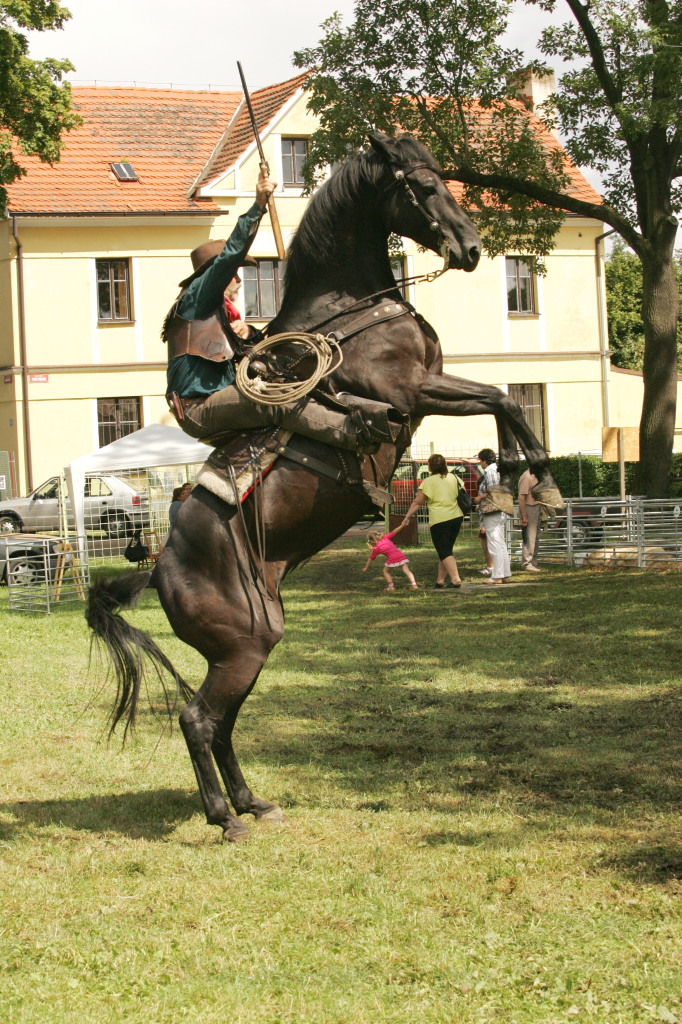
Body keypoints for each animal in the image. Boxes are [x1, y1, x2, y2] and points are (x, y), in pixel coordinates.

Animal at [87, 132, 561, 843]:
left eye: (442, 175)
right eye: (421, 186)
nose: (472, 248)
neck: (348, 311)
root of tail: (157, 569)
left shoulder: (428, 390)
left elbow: (503, 396)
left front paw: (523, 468)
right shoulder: (407, 394)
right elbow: (499, 395)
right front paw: (537, 471)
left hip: (250, 646)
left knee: (221, 723)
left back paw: (253, 802)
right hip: (242, 647)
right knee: (199, 719)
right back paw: (225, 817)